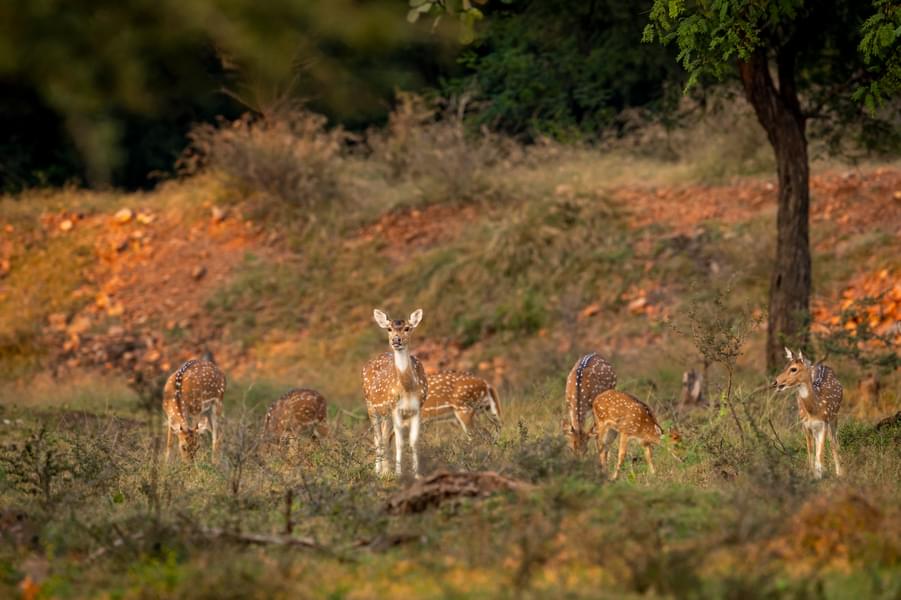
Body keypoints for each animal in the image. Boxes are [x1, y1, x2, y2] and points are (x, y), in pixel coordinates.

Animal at [360, 310, 428, 478]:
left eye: (408, 328)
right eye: (389, 329)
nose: (396, 340)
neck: (408, 389)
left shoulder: (417, 408)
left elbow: (414, 441)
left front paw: (417, 474)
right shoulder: (395, 409)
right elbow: (400, 442)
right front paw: (398, 473)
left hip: (386, 413)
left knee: (385, 437)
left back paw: (385, 468)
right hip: (371, 406)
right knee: (378, 437)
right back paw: (379, 470)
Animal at [768, 346, 840, 478]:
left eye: (793, 369)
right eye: (784, 366)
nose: (775, 382)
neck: (814, 409)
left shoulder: (824, 423)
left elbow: (820, 455)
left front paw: (820, 476)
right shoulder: (805, 425)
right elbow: (811, 451)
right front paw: (812, 475)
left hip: (834, 418)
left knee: (834, 443)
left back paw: (839, 473)